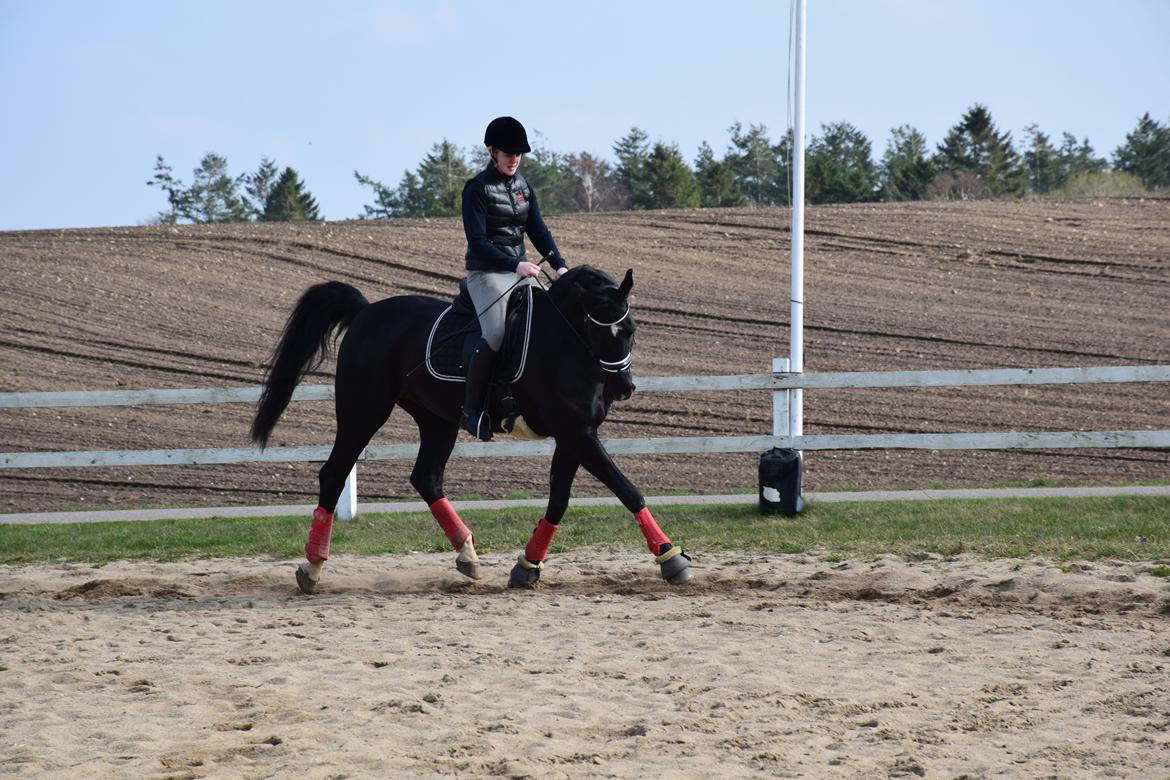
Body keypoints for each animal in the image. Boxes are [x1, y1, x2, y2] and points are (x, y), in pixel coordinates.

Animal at [246, 265, 683, 594]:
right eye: (599, 329)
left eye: (631, 329)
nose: (623, 388)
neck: (564, 343)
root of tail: (368, 312)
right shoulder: (578, 433)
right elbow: (627, 489)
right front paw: (670, 557)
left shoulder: (575, 435)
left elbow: (559, 500)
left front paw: (528, 565)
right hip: (362, 412)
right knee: (334, 473)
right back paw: (313, 567)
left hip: (437, 421)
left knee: (426, 477)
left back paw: (467, 555)